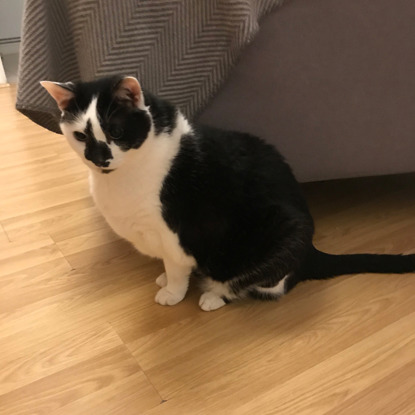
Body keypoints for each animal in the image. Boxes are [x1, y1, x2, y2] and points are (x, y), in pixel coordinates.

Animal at [41, 76, 415, 312]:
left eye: (116, 132)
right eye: (80, 136)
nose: (98, 158)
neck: (122, 178)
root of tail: (311, 250)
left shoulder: (177, 234)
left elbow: (177, 265)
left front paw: (173, 291)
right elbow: (168, 264)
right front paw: (165, 278)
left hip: (282, 232)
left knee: (266, 285)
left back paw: (215, 295)